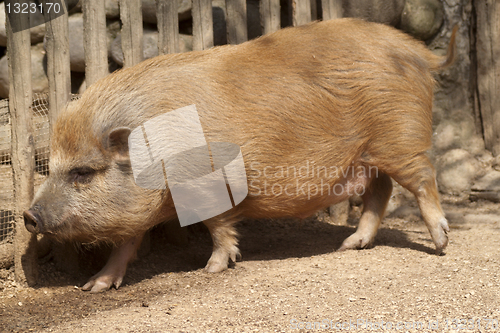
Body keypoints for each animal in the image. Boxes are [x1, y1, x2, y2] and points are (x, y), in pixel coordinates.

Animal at [23, 18, 458, 290]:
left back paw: (441, 245)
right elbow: (126, 242)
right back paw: (350, 245)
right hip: (370, 154)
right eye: (53, 168)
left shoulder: (206, 183)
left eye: (83, 172)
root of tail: (419, 51)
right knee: (380, 192)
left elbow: (217, 225)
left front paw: (212, 267)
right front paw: (93, 287)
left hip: (401, 137)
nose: (29, 215)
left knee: (423, 179)